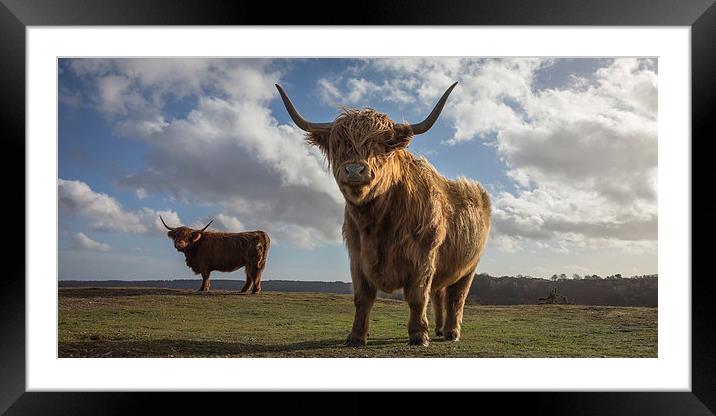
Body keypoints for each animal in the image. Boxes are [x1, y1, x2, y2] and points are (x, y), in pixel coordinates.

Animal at [276, 82, 492, 348]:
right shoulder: (357, 257)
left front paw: (419, 335)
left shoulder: (423, 259)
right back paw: (440, 329)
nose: (354, 170)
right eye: (338, 144)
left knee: (456, 297)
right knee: (439, 294)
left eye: (382, 144)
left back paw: (452, 332)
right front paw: (356, 336)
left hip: (469, 268)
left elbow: (417, 297)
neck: (377, 223)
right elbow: (363, 297)